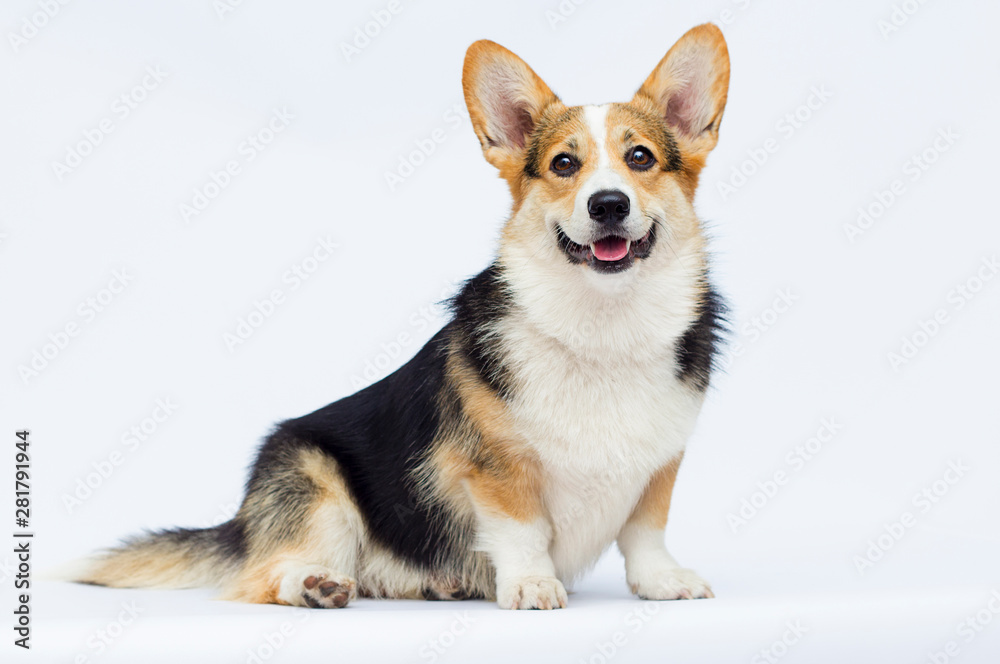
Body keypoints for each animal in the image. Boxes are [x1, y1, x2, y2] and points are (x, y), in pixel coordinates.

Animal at [70, 23, 728, 608]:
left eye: (640, 157)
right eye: (565, 165)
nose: (608, 204)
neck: (603, 325)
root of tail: (242, 521)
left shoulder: (660, 467)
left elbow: (645, 532)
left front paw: (661, 581)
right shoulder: (497, 470)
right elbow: (523, 531)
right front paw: (531, 585)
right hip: (316, 487)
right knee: (264, 576)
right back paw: (314, 586)